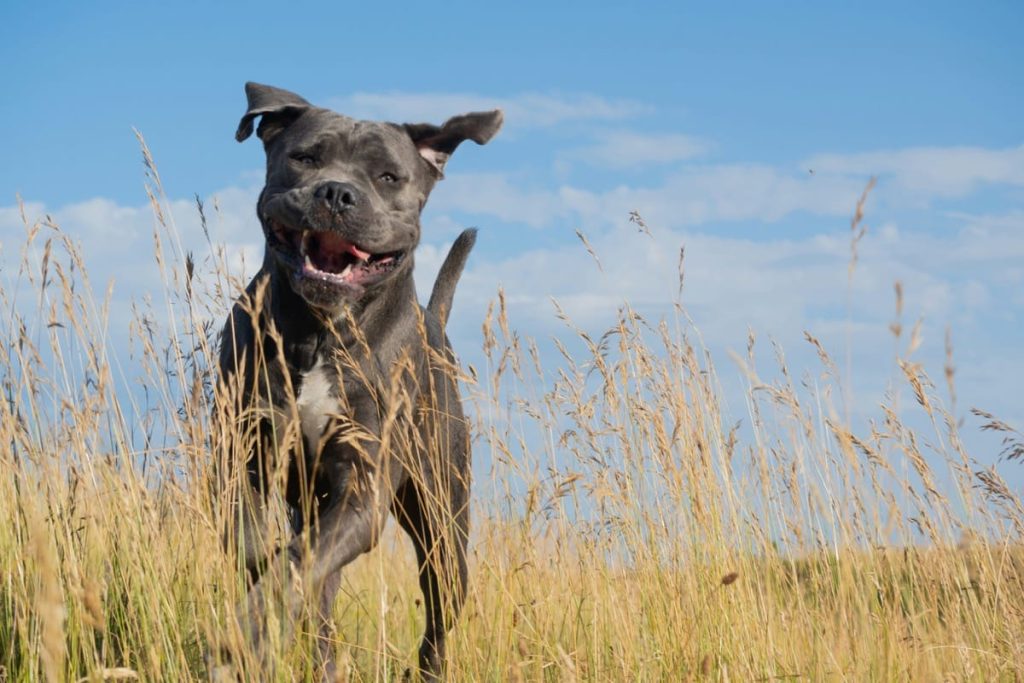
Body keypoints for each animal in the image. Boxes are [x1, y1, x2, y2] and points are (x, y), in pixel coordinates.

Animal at [218, 82, 501, 679]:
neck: (318, 333)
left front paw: (251, 629)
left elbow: (292, 567)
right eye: (305, 158)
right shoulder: (242, 455)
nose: (336, 193)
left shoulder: (361, 492)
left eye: (388, 177)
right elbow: (260, 550)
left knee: (440, 612)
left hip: (445, 526)